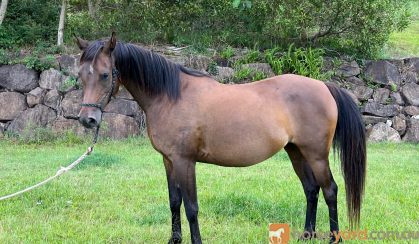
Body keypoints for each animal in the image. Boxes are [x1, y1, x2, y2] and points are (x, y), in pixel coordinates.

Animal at [76, 33, 368, 244]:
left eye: (105, 74)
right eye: (80, 75)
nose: (87, 119)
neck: (171, 96)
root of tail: (324, 86)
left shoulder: (184, 161)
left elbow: (191, 207)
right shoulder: (168, 161)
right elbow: (174, 202)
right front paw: (174, 240)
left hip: (316, 154)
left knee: (330, 190)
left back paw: (333, 239)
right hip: (296, 151)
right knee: (311, 189)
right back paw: (307, 235)